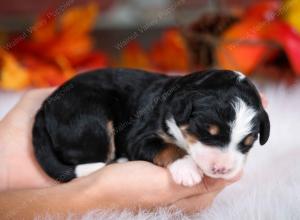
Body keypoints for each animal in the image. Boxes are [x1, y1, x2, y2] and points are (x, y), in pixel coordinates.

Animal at [32, 68, 270, 186]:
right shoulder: (139, 136)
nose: (222, 170)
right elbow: (167, 147)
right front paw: (187, 168)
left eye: (248, 143)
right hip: (91, 119)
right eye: (206, 131)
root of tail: (45, 106)